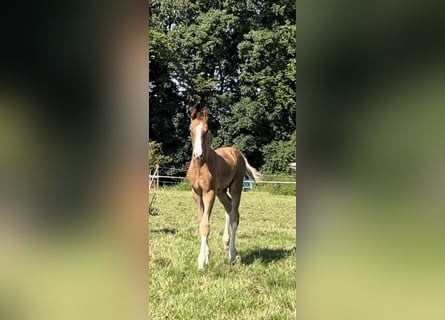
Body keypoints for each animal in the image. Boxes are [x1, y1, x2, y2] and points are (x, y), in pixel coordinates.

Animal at [186, 106, 262, 268]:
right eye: (190, 129)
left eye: (206, 130)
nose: (198, 154)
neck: (200, 166)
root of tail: (238, 153)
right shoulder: (196, 192)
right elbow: (201, 220)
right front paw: (206, 255)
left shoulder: (209, 192)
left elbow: (205, 225)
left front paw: (201, 262)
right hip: (221, 191)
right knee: (229, 208)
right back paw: (227, 245)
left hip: (236, 188)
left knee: (234, 216)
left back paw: (232, 254)